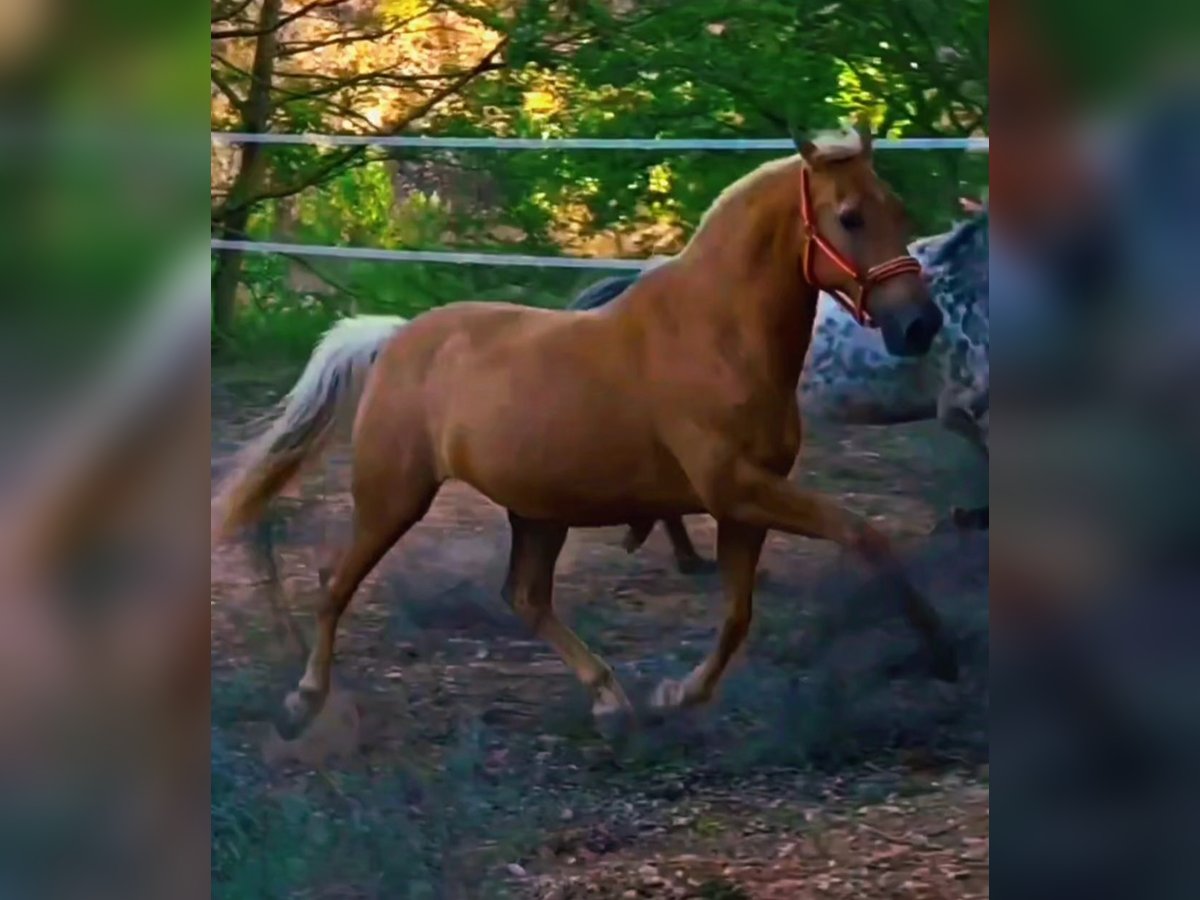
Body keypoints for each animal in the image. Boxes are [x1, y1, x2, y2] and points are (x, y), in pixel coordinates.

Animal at [216, 125, 960, 739]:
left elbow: (737, 615)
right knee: (334, 581)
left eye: (897, 211)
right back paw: (303, 701)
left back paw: (609, 699)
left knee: (524, 597)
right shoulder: (738, 490)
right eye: (850, 217)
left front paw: (676, 696)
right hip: (394, 496)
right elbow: (860, 534)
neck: (717, 334)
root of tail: (396, 339)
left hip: (538, 510)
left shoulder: (745, 503)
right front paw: (939, 651)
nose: (920, 325)